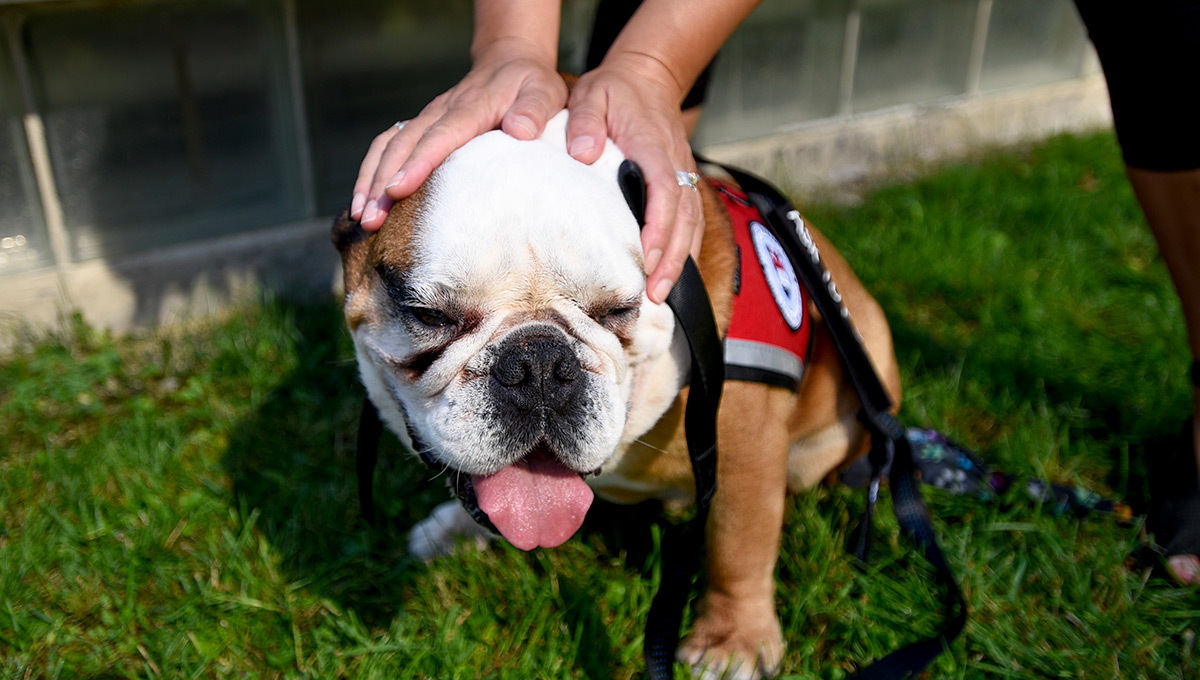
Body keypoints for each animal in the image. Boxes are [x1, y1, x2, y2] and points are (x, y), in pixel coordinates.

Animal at [333, 109, 897, 676]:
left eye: (618, 310)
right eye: (429, 316)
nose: (538, 364)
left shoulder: (745, 447)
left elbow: (740, 542)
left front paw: (733, 640)